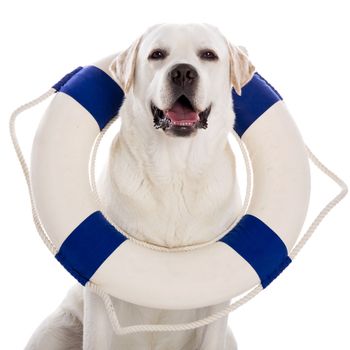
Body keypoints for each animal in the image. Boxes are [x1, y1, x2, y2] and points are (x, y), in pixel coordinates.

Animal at [24, 22, 254, 350]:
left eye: (208, 55)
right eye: (157, 54)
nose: (183, 72)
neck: (175, 172)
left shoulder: (217, 302)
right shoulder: (100, 291)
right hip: (55, 328)